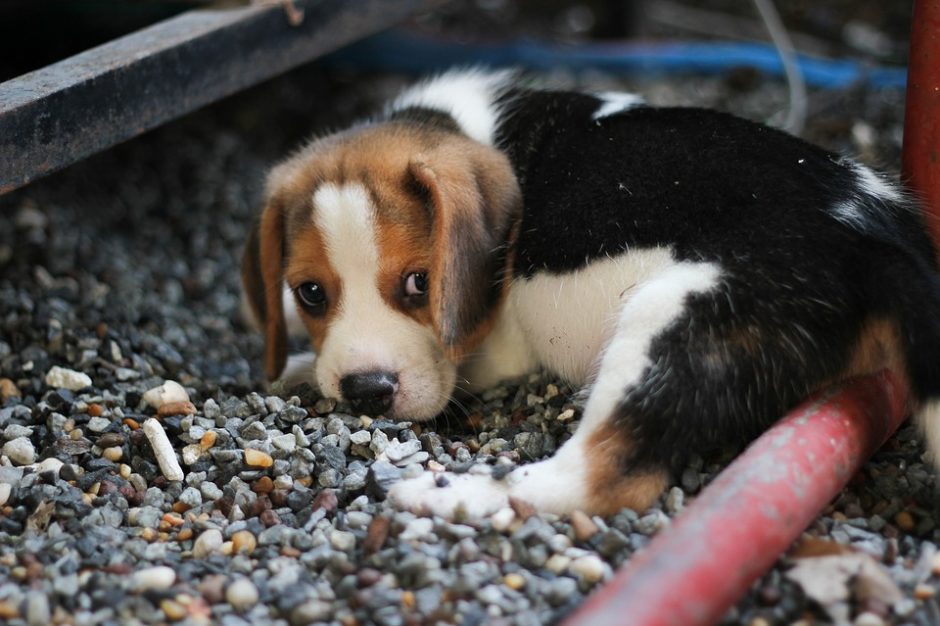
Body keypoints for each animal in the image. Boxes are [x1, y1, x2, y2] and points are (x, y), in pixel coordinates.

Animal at [241, 69, 940, 516]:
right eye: (309, 293)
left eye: (420, 282)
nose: (366, 392)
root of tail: (879, 238)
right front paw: (295, 365)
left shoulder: (495, 350)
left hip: (672, 321)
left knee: (598, 478)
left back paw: (457, 495)